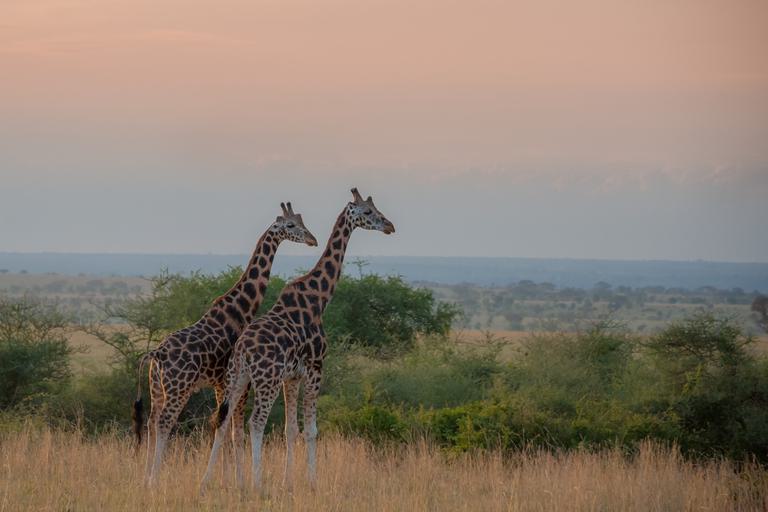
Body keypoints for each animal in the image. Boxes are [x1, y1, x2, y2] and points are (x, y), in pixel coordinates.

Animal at [136, 202, 318, 486]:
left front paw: (226, 480)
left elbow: (225, 427)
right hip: (179, 387)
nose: (312, 239)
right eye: (291, 225)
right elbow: (234, 430)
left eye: (302, 222)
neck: (241, 307)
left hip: (157, 388)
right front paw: (235, 481)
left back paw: (145, 478)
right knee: (164, 422)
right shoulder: (230, 381)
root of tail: (156, 355)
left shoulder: (222, 383)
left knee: (151, 422)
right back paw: (155, 479)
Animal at [200, 188, 395, 493]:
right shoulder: (315, 368)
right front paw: (312, 482)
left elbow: (291, 430)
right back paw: (256, 484)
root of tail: (242, 350)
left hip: (237, 378)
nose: (389, 226)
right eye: (367, 212)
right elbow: (311, 430)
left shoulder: (291, 376)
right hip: (265, 379)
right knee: (256, 423)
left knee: (222, 420)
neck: (320, 298)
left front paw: (287, 481)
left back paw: (206, 481)